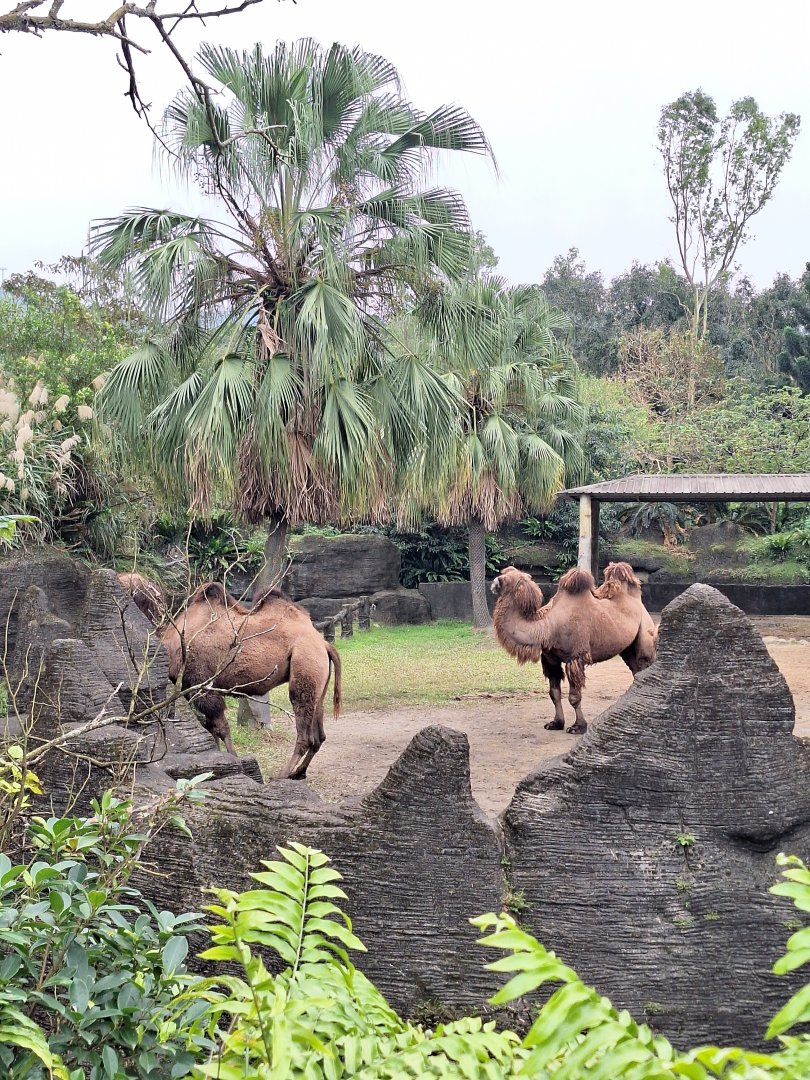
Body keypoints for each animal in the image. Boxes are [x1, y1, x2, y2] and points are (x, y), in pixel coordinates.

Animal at [118, 574, 341, 778]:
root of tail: (324, 644)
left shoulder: (201, 683)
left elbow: (220, 726)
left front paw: (233, 760)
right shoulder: (192, 689)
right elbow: (210, 727)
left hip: (305, 665)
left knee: (305, 734)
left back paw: (283, 775)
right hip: (317, 681)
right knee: (319, 735)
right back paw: (299, 773)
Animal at [491, 561, 657, 734]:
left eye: (505, 578)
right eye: (504, 573)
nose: (494, 582)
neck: (548, 628)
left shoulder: (576, 657)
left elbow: (574, 697)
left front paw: (578, 726)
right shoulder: (550, 659)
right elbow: (554, 693)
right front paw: (556, 723)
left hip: (645, 633)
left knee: (645, 663)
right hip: (627, 648)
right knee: (635, 669)